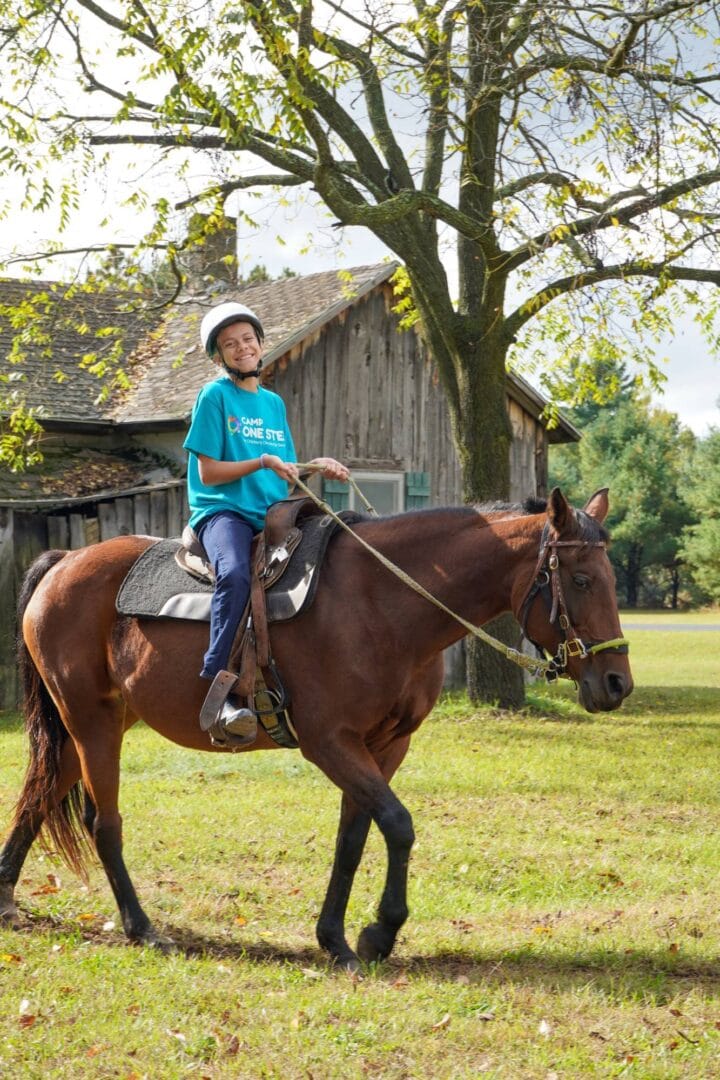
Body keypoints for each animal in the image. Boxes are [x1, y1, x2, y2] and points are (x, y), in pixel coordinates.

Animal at [0, 487, 632, 969]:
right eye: (579, 580)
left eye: (609, 577)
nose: (617, 682)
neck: (382, 603)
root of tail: (63, 562)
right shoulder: (330, 742)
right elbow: (398, 825)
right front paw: (379, 933)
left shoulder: (385, 746)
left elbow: (353, 838)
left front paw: (336, 939)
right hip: (91, 723)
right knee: (102, 822)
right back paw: (140, 926)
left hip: (86, 726)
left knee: (37, 797)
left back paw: (6, 900)